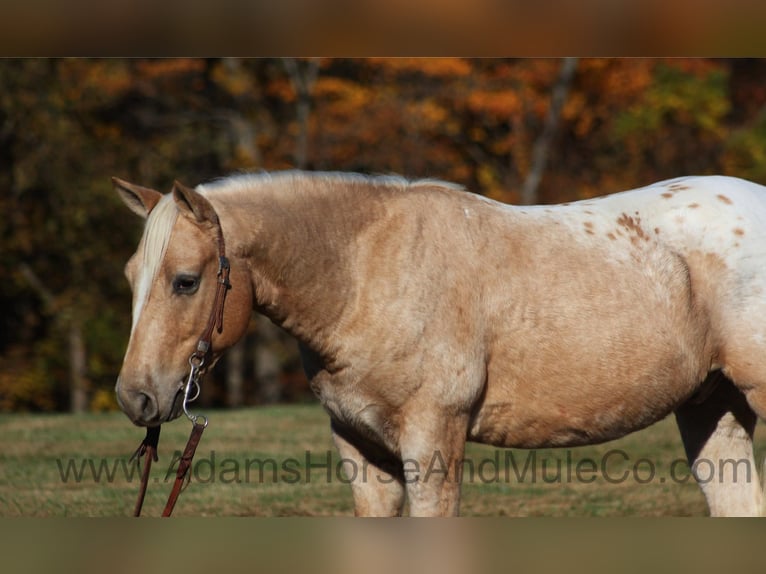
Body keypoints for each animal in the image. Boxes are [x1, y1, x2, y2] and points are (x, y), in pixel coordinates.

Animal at [112, 171, 766, 516]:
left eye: (185, 280)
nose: (134, 397)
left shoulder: (433, 441)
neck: (366, 272)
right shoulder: (361, 449)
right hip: (713, 409)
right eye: (130, 275)